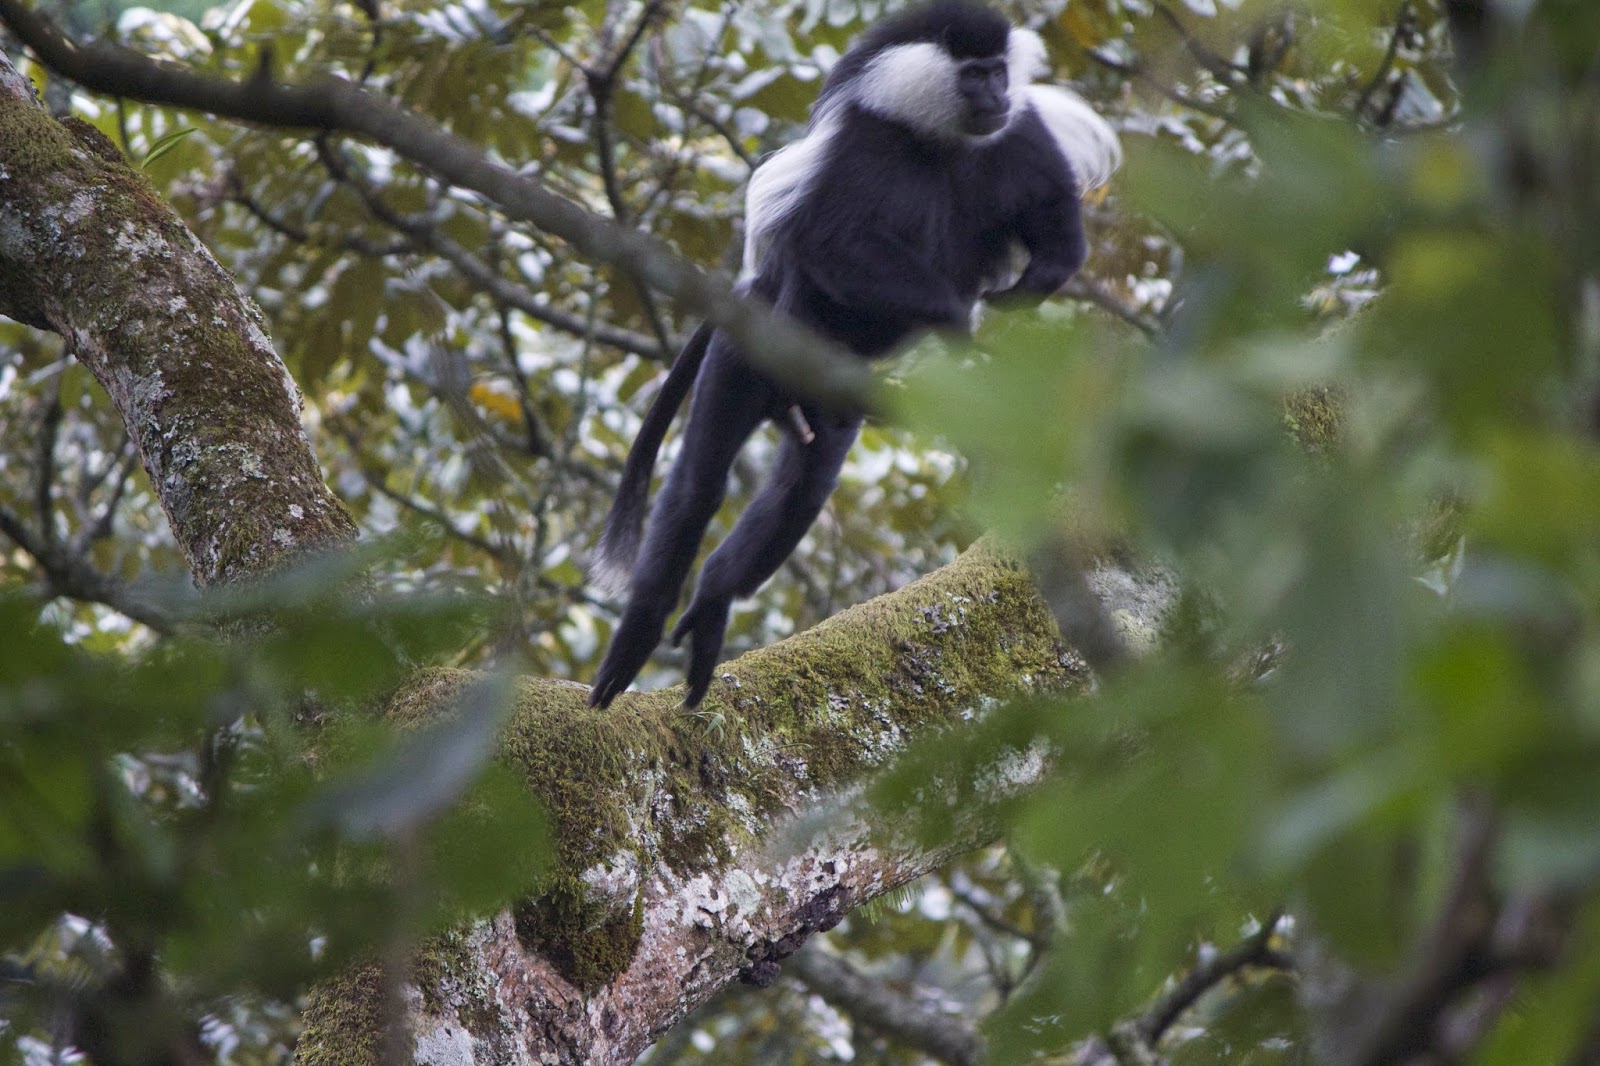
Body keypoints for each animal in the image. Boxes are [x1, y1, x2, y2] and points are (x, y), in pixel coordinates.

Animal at [587, 0, 1121, 709]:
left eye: (999, 72)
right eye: (974, 74)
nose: (998, 96)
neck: (940, 145)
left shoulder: (1021, 137)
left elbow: (1058, 231)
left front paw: (1015, 295)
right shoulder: (863, 150)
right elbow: (835, 245)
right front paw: (962, 325)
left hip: (831, 404)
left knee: (801, 491)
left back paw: (713, 601)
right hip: (744, 352)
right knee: (699, 485)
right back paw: (641, 631)